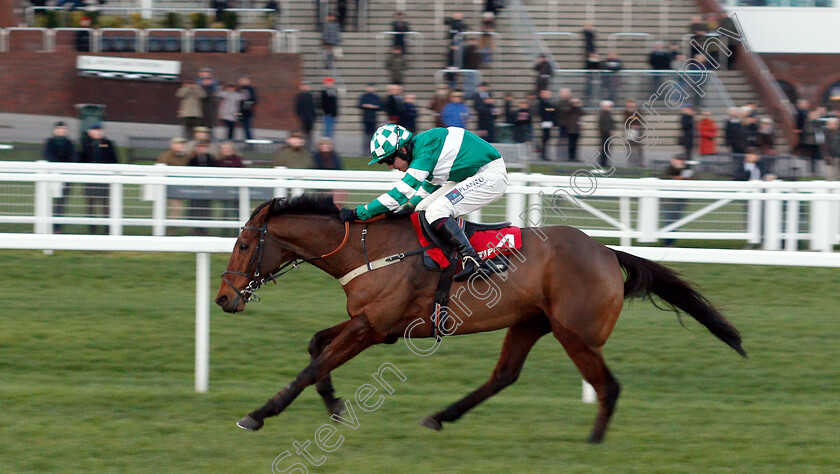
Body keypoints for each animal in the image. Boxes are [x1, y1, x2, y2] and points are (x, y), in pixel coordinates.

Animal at [213, 193, 744, 444]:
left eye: (244, 243)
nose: (222, 298)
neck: (369, 249)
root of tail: (607, 252)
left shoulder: (373, 328)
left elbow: (312, 366)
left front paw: (259, 414)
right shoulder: (373, 325)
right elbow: (315, 346)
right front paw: (335, 405)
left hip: (574, 332)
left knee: (607, 386)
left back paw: (592, 445)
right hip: (530, 321)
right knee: (504, 375)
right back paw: (440, 416)